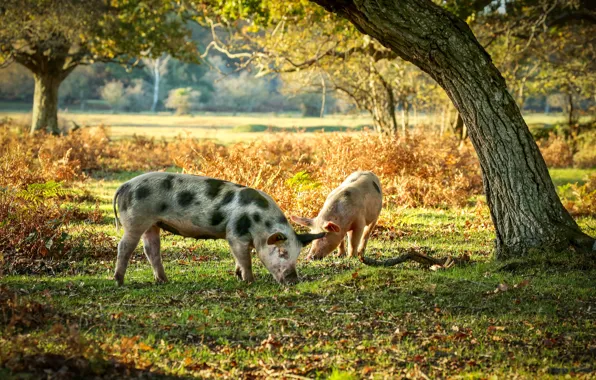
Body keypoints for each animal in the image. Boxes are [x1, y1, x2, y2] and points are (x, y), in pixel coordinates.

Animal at [113, 172, 324, 284]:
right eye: (281, 252)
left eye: (296, 255)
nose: (294, 280)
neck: (260, 223)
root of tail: (124, 186)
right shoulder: (235, 234)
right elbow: (245, 259)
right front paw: (249, 280)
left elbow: (240, 258)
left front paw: (238, 275)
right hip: (135, 220)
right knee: (124, 247)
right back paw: (118, 280)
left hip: (152, 224)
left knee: (151, 249)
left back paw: (163, 280)